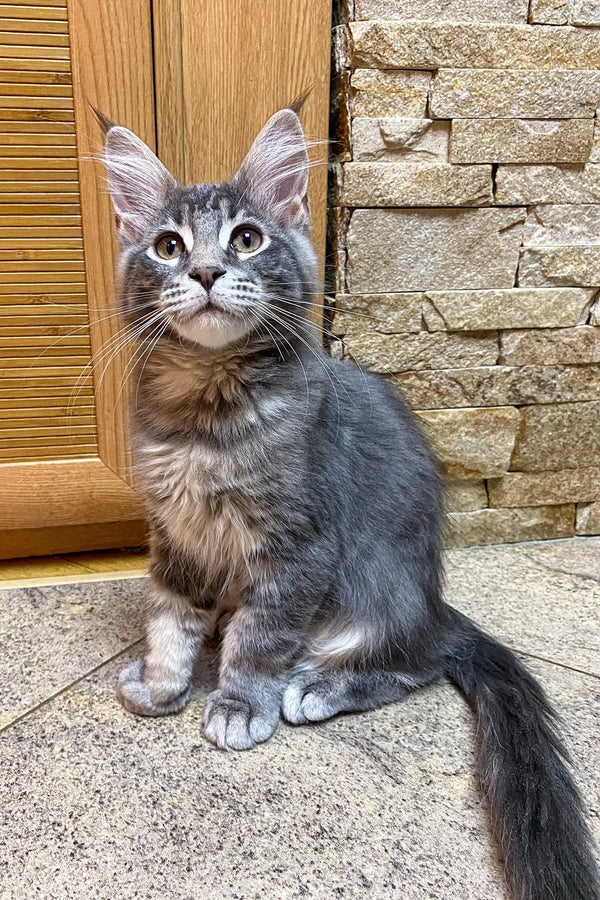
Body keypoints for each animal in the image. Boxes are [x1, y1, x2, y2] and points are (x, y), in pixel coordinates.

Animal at [98, 98, 600, 900]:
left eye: (246, 238)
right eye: (168, 246)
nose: (205, 271)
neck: (205, 418)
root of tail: (434, 603)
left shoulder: (299, 545)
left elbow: (259, 638)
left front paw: (238, 702)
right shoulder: (175, 535)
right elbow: (170, 619)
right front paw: (161, 682)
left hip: (374, 589)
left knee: (417, 660)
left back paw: (315, 688)